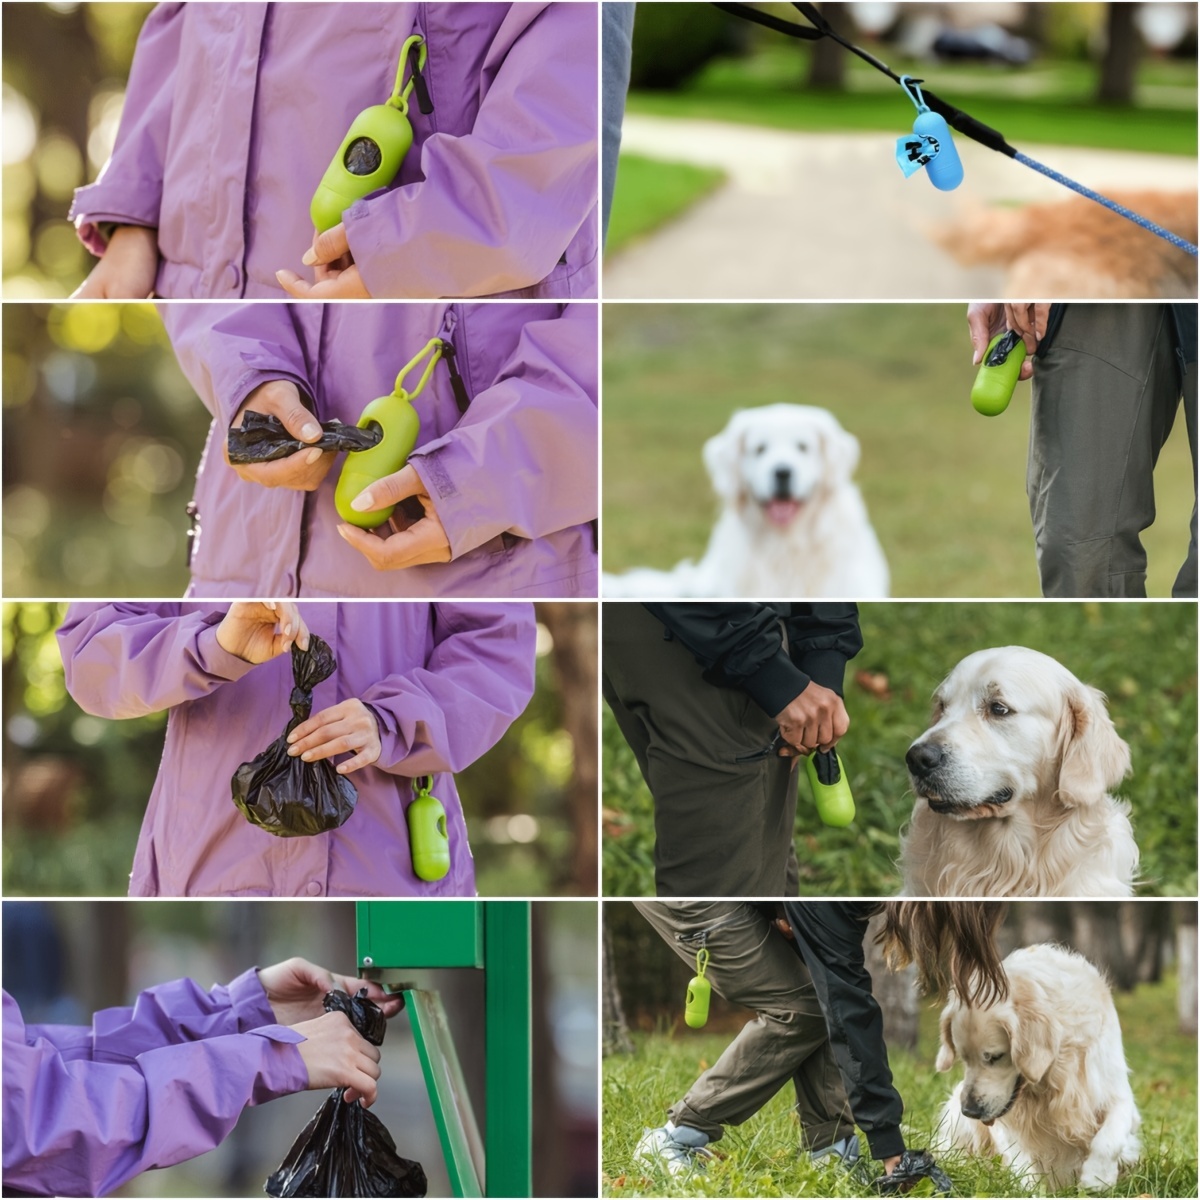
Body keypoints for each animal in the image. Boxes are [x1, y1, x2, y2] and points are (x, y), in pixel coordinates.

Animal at [931, 945, 1137, 1190]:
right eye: (964, 1058)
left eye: (995, 1057)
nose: (970, 1111)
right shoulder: (1005, 1121)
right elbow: (1022, 1164)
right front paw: (1031, 1189)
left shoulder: (1114, 1090)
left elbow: (1109, 1138)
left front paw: (1097, 1178)